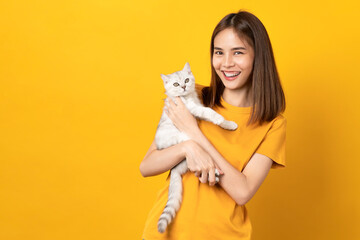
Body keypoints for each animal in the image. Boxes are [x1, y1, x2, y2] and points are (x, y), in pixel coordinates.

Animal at [154, 62, 236, 232]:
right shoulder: (191, 108)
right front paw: (219, 119)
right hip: (182, 140)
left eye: (186, 80)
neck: (188, 97)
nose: (184, 86)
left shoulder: (196, 108)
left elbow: (212, 115)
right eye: (176, 84)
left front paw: (229, 124)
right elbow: (208, 111)